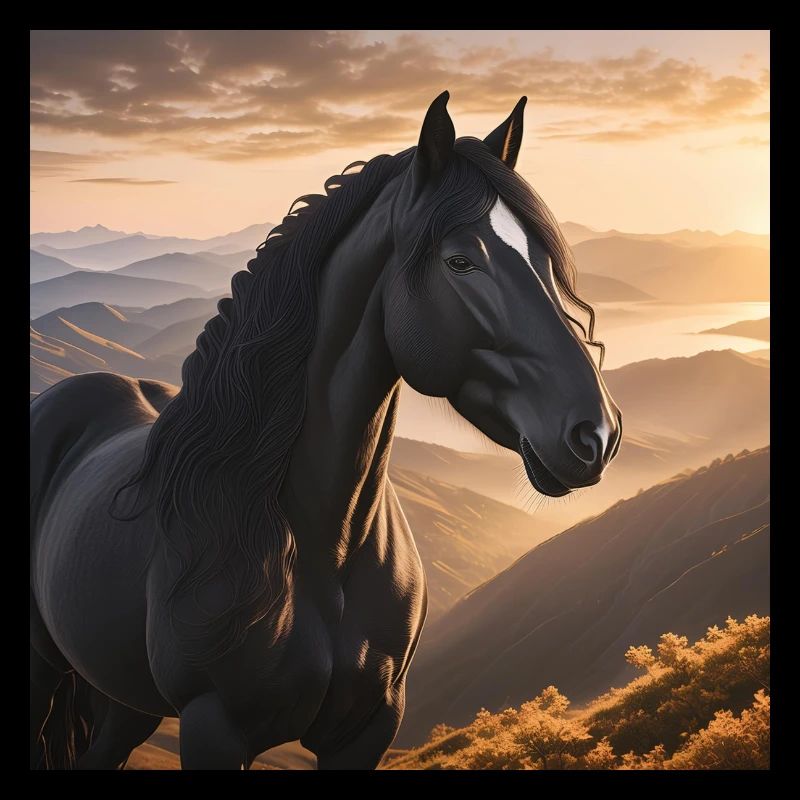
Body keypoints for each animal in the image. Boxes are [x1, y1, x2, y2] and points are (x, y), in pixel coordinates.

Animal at [30, 92, 622, 770]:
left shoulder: (368, 729)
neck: (319, 544)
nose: (596, 434)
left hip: (124, 699)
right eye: (461, 261)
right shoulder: (213, 727)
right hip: (44, 669)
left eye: (547, 262)